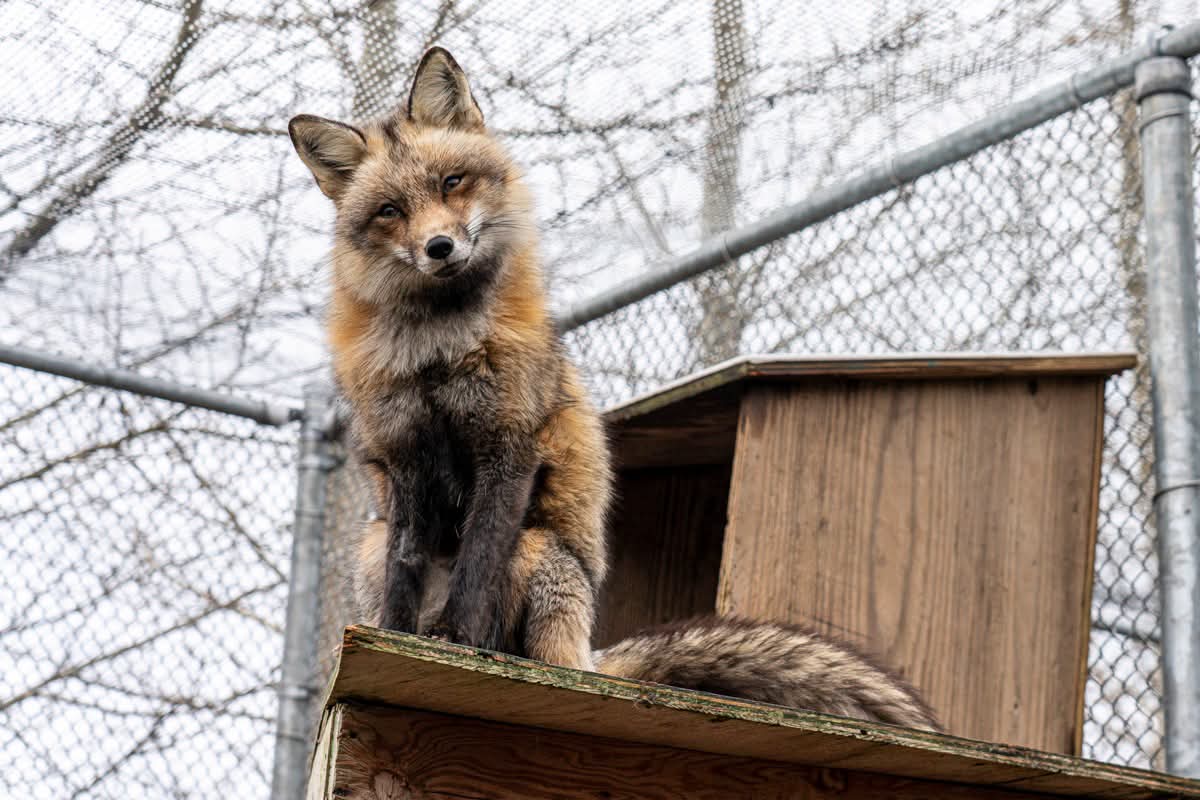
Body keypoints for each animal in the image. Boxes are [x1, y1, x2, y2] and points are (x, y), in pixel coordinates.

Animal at [289, 47, 939, 732]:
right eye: (390, 211)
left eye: (452, 183)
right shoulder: (406, 457)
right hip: (371, 540)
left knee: (524, 644)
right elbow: (405, 576)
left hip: (539, 550)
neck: (438, 350)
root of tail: (587, 654)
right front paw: (392, 638)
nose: (439, 247)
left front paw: (451, 642)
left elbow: (476, 569)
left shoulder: (509, 447)